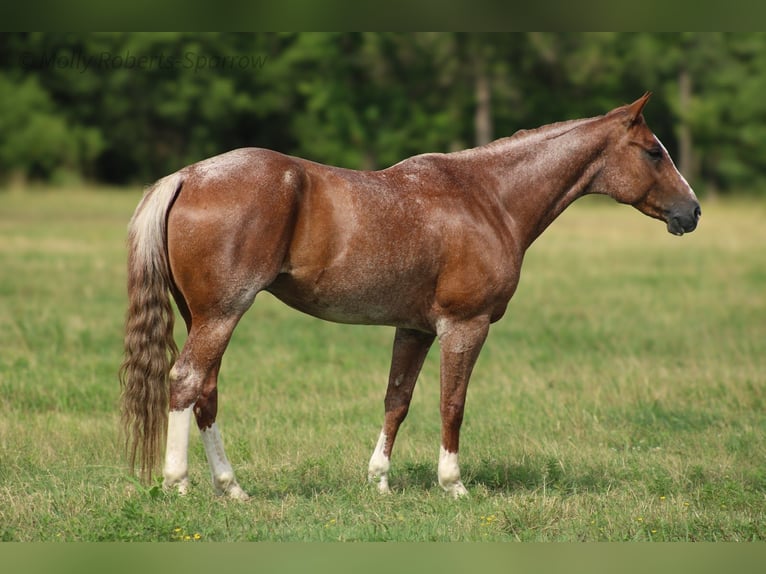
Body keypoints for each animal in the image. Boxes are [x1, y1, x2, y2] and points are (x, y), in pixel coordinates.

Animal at [119, 93, 700, 500]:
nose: (691, 212)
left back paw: (232, 488)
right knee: (186, 381)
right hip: (223, 313)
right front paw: (453, 483)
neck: (488, 197)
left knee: (207, 391)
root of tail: (189, 175)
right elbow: (452, 403)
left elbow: (397, 399)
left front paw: (379, 480)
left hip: (203, 315)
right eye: (654, 152)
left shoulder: (415, 328)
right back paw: (178, 482)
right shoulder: (465, 325)